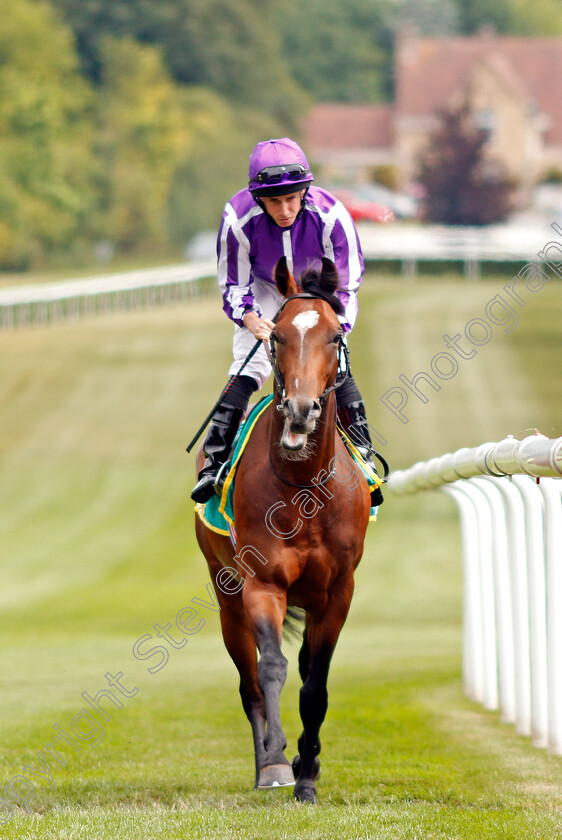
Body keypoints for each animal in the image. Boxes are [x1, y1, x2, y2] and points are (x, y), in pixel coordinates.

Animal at [195, 258, 370, 808]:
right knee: (249, 682)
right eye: (276, 336)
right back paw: (266, 765)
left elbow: (315, 682)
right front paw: (277, 760)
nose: (300, 409)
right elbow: (271, 668)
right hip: (226, 596)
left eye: (335, 336)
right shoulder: (262, 582)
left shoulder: (338, 591)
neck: (304, 487)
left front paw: (308, 773)